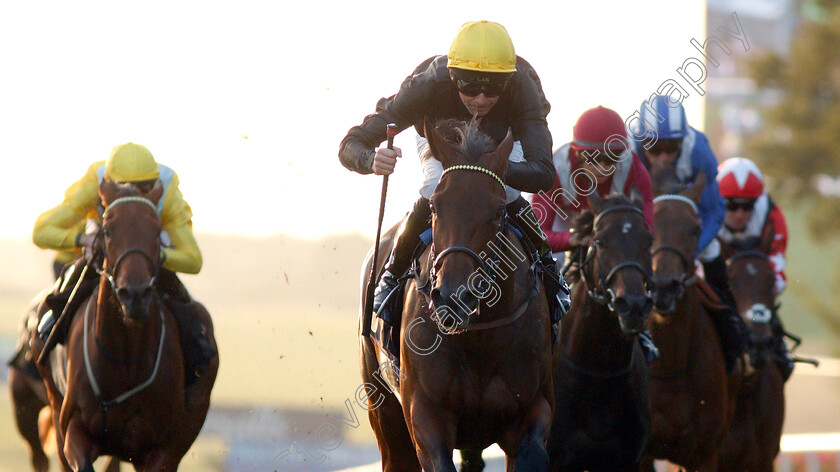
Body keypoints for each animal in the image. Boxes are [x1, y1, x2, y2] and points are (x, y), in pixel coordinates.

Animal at [31, 180, 218, 472]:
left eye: (156, 231)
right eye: (107, 230)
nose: (135, 294)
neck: (125, 361)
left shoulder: (161, 450)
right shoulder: (74, 430)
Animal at [358, 119, 556, 472]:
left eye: (498, 212)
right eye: (434, 206)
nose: (453, 297)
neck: (478, 335)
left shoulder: (535, 406)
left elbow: (532, 451)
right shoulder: (425, 413)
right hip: (383, 409)